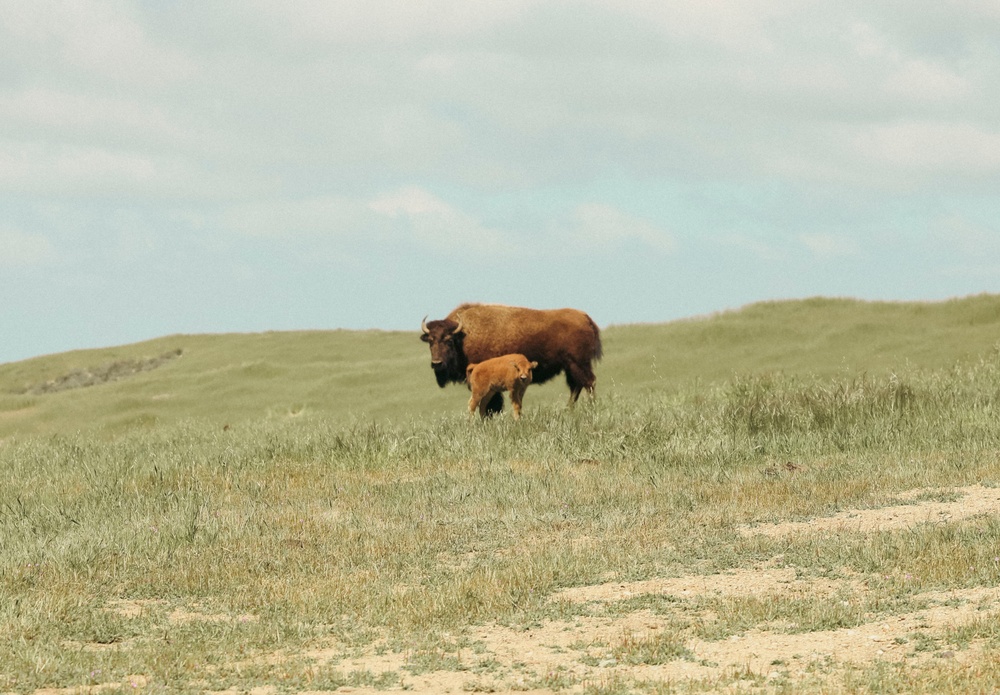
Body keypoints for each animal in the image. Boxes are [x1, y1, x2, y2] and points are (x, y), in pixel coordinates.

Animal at [420, 304, 600, 414]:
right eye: (430, 341)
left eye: (448, 340)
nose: (436, 363)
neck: (464, 337)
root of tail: (585, 317)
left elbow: (491, 404)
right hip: (570, 367)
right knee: (576, 386)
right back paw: (569, 410)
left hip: (578, 364)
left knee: (588, 383)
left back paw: (590, 409)